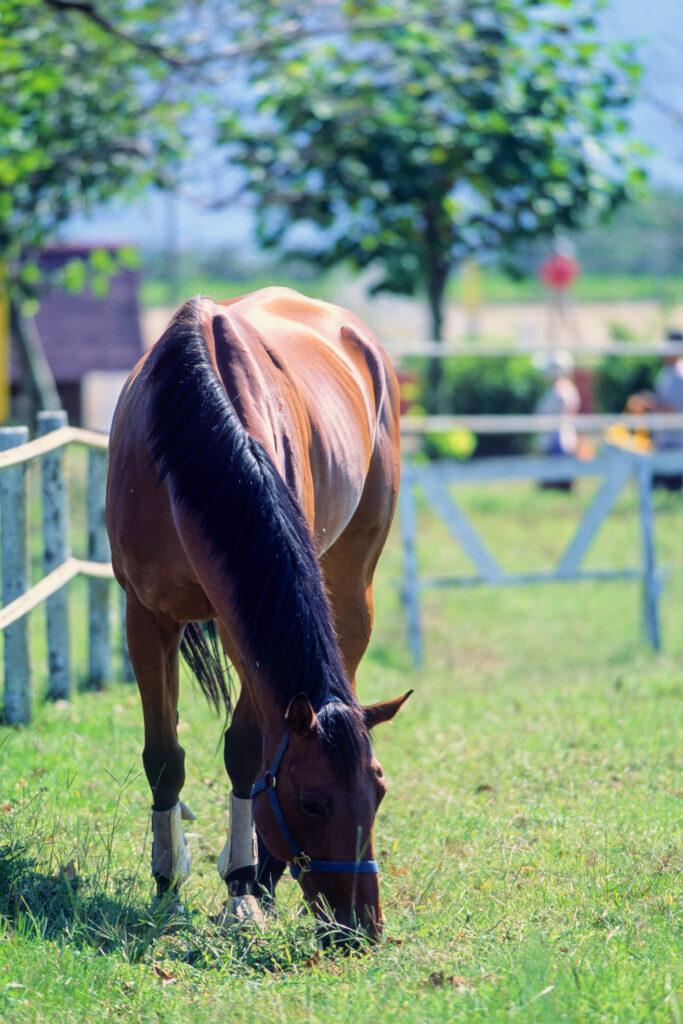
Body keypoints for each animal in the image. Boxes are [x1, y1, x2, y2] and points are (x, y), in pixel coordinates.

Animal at [104, 286, 409, 937]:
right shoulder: (144, 614)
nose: (359, 925)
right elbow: (164, 758)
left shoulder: (242, 621)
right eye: (312, 800)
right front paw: (166, 884)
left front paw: (245, 885)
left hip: (351, 588)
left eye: (378, 792)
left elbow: (246, 751)